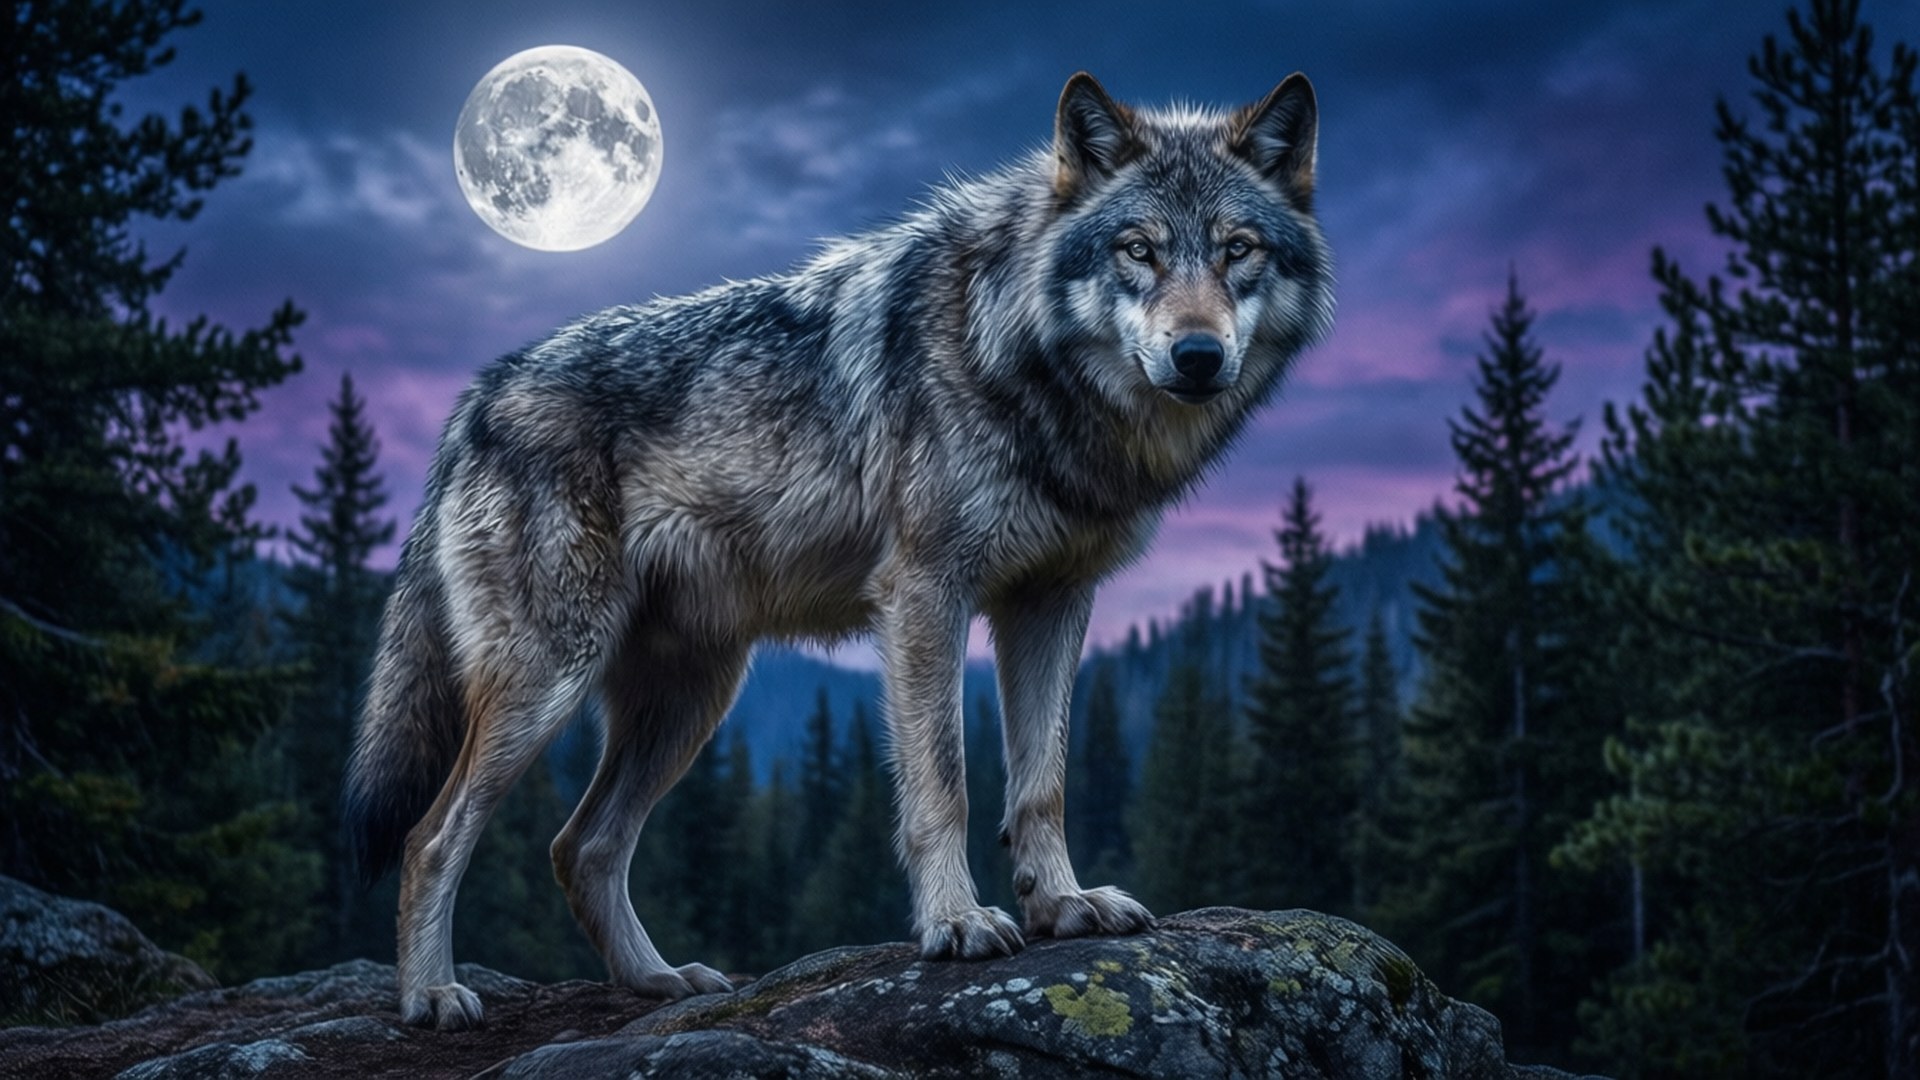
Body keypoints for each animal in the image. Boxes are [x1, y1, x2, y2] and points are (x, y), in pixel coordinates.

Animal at [343, 71, 1334, 1030]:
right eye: (1139, 250)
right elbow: (945, 782)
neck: (1017, 357)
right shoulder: (926, 593)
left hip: (690, 700)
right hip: (549, 678)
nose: (1198, 355)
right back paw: (432, 998)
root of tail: (475, 400)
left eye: (1238, 249)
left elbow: (1041, 782)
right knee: (431, 837)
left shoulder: (1052, 602)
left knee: (579, 845)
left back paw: (660, 983)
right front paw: (957, 923)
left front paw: (1062, 905)